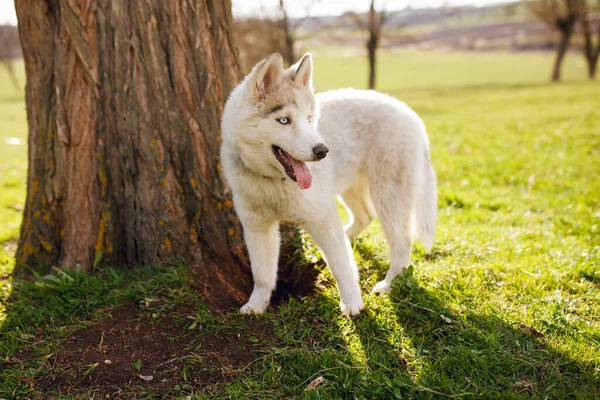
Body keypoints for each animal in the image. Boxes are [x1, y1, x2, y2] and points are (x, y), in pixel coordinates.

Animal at [220, 53, 436, 316]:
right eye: (284, 120)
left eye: (309, 119)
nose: (322, 150)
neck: (271, 180)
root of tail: (412, 116)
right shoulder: (257, 227)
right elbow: (262, 274)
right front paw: (256, 306)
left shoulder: (321, 216)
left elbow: (341, 267)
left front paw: (352, 304)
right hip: (351, 188)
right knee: (364, 217)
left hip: (387, 195)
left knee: (402, 242)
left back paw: (389, 284)